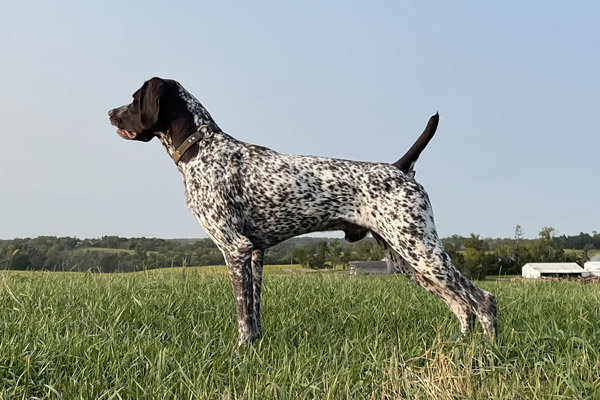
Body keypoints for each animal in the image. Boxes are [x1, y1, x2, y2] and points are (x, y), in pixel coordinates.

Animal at [108, 78, 496, 346]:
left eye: (134, 98)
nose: (110, 113)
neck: (202, 149)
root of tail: (400, 168)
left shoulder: (235, 248)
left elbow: (243, 315)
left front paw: (241, 350)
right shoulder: (255, 253)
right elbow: (254, 312)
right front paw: (255, 349)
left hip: (421, 250)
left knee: (483, 300)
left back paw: (487, 351)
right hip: (407, 259)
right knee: (461, 305)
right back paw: (461, 346)